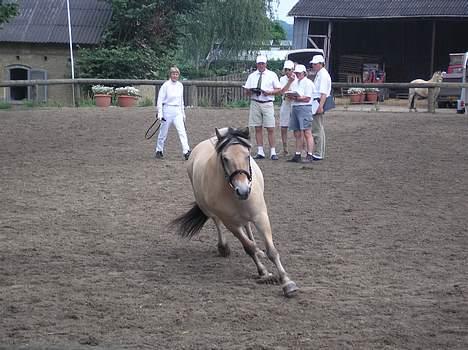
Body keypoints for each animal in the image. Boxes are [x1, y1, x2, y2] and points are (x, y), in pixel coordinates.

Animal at [170, 127, 298, 296]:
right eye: (225, 158)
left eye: (247, 155)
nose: (243, 190)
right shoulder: (231, 224)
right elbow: (248, 247)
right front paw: (264, 273)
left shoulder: (260, 216)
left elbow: (271, 251)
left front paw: (287, 282)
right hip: (209, 210)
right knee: (217, 221)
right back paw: (224, 247)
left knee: (247, 226)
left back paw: (259, 249)